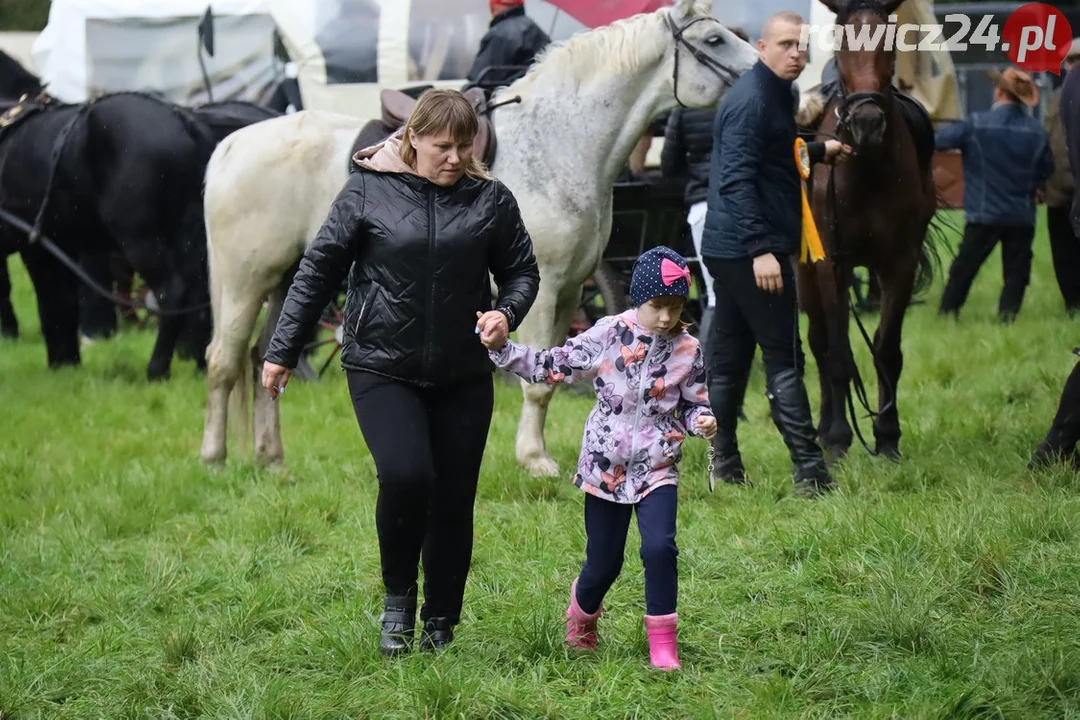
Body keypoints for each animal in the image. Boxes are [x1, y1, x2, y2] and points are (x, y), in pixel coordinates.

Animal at [198, 0, 756, 470]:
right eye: (713, 40)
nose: (765, 76)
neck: (557, 142)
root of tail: (231, 143)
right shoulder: (547, 289)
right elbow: (538, 384)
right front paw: (535, 460)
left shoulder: (569, 290)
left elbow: (553, 371)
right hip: (246, 280)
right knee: (223, 361)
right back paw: (214, 458)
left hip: (289, 280)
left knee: (267, 359)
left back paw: (272, 460)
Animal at [799, 0, 941, 462]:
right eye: (841, 43)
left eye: (890, 43)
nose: (866, 123)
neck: (868, 171)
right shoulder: (833, 264)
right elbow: (838, 352)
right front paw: (839, 437)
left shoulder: (900, 264)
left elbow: (886, 349)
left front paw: (887, 435)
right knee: (820, 342)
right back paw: (825, 430)